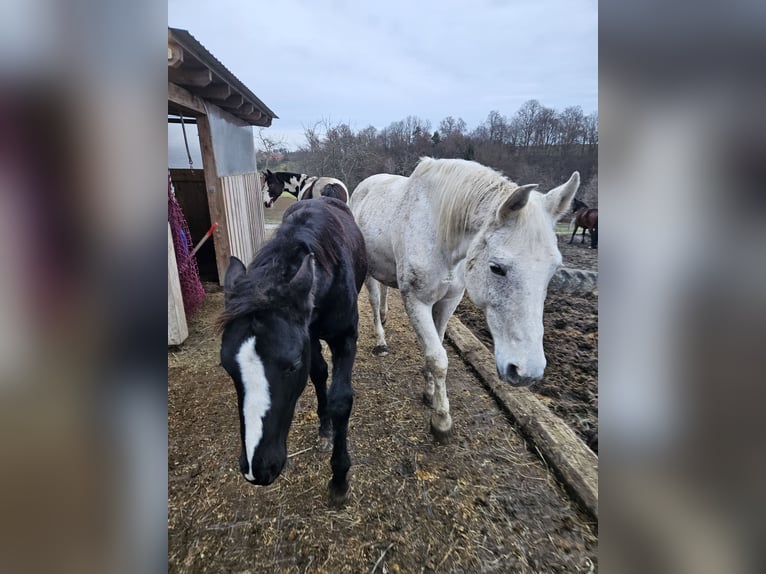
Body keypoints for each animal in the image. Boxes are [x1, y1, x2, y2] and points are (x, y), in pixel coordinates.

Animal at [219, 197, 367, 505]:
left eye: (292, 365)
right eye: (227, 367)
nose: (256, 468)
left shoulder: (346, 338)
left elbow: (341, 400)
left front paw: (339, 478)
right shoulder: (307, 335)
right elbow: (319, 374)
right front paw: (325, 428)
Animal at [350, 158, 579, 442]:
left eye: (553, 269)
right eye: (496, 268)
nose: (526, 372)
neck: (440, 235)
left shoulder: (449, 301)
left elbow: (435, 348)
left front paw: (430, 394)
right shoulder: (417, 301)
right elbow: (438, 359)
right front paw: (441, 420)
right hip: (368, 272)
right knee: (373, 300)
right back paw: (380, 341)